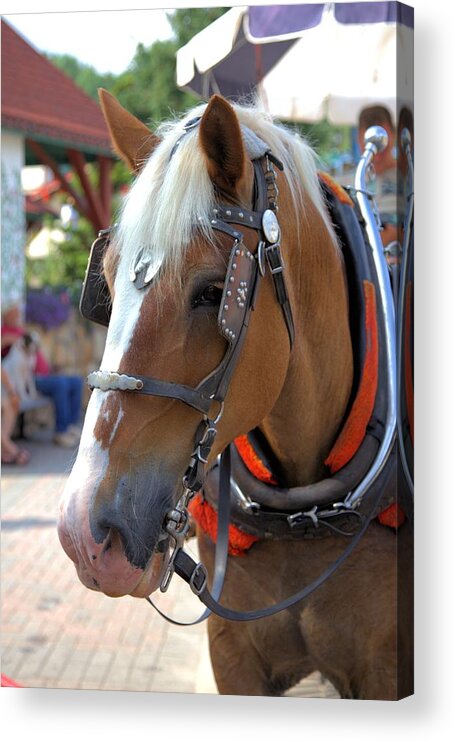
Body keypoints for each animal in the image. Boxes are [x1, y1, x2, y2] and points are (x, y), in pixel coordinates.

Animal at [57, 90, 414, 700]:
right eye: (105, 279)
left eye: (213, 291)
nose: (85, 533)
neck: (305, 512)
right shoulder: (235, 658)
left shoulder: (386, 669)